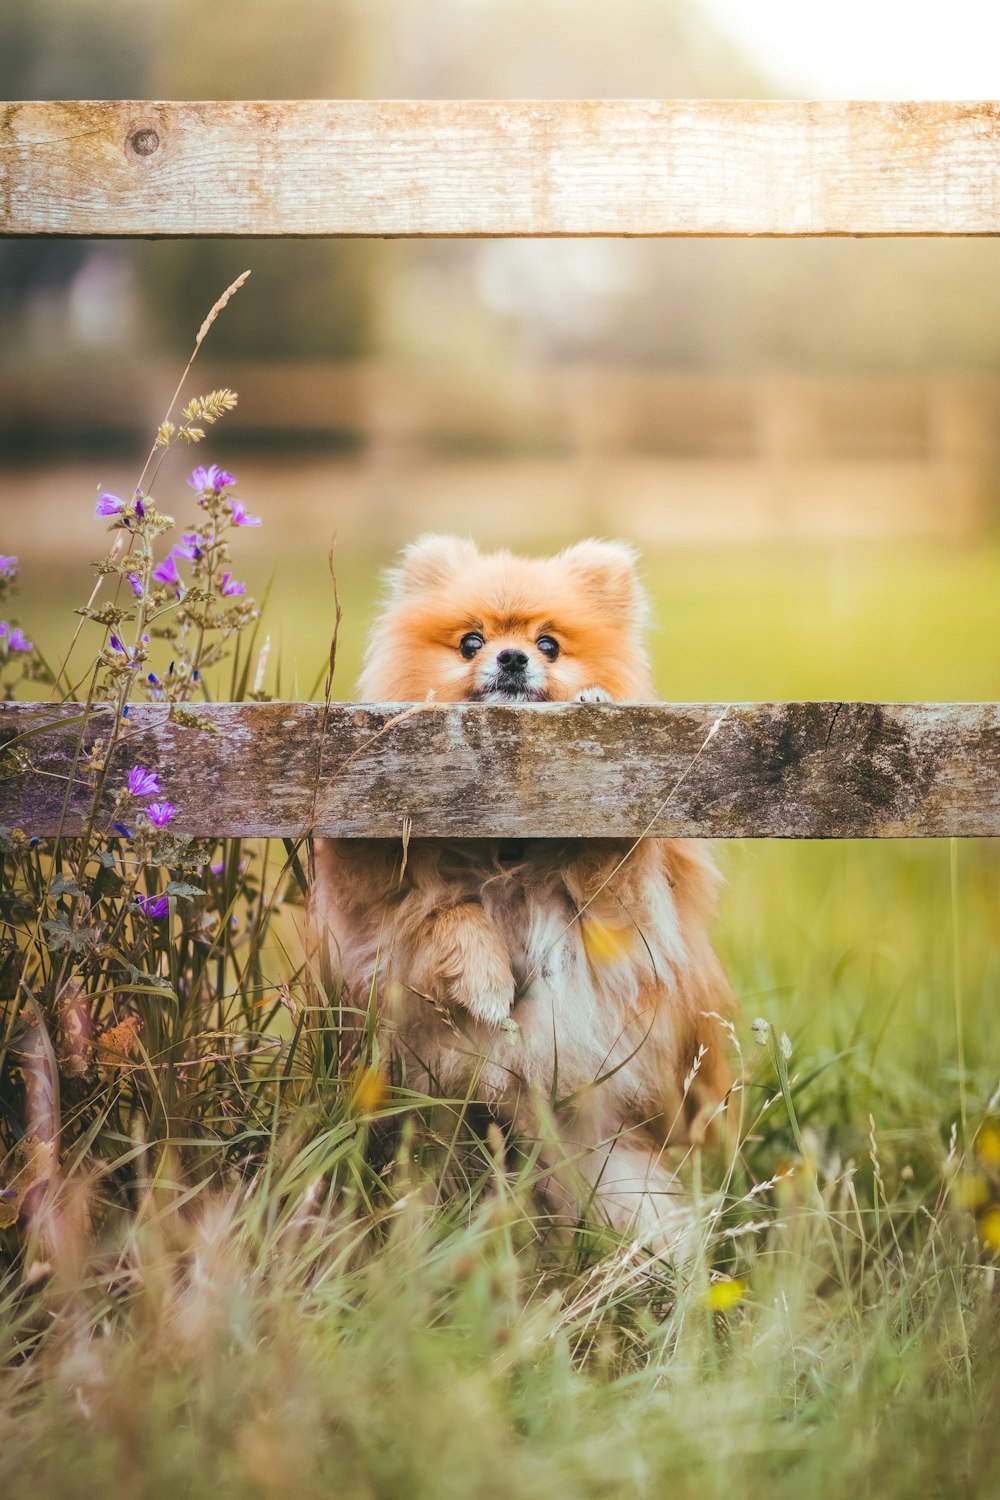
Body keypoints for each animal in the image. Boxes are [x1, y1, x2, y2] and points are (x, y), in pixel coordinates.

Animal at [316, 534, 740, 1248]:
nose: (511, 657)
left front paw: (596, 704)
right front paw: (487, 982)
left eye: (549, 644)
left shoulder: (629, 914)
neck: (510, 838)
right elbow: (443, 911)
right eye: (470, 641)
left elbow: (610, 860)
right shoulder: (379, 907)